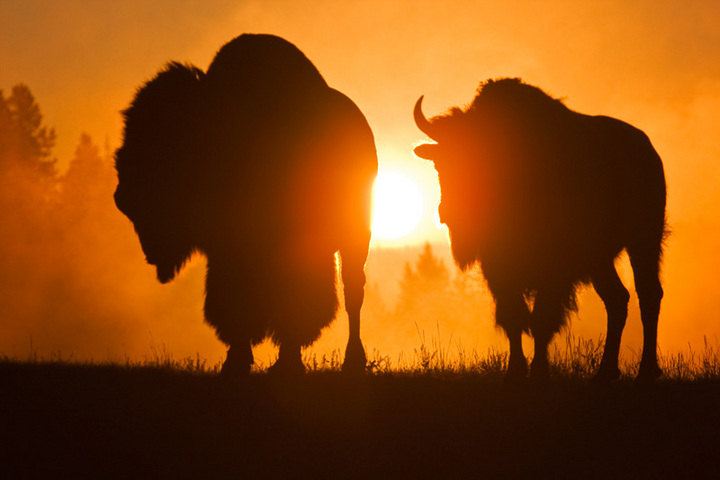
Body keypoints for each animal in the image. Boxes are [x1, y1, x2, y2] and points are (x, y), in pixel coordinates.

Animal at [114, 34, 378, 376]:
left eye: (160, 138)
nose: (122, 195)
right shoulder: (225, 250)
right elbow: (232, 303)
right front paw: (238, 360)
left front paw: (284, 361)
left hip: (356, 236)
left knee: (352, 292)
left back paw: (351, 360)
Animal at [414, 78, 667, 381]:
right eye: (441, 163)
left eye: (483, 159)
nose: (450, 213)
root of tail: (649, 151)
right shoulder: (498, 269)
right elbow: (514, 317)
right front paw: (514, 370)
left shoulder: (555, 271)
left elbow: (541, 319)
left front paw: (539, 371)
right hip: (601, 261)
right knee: (617, 298)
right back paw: (605, 372)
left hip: (644, 240)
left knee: (648, 294)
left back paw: (647, 371)